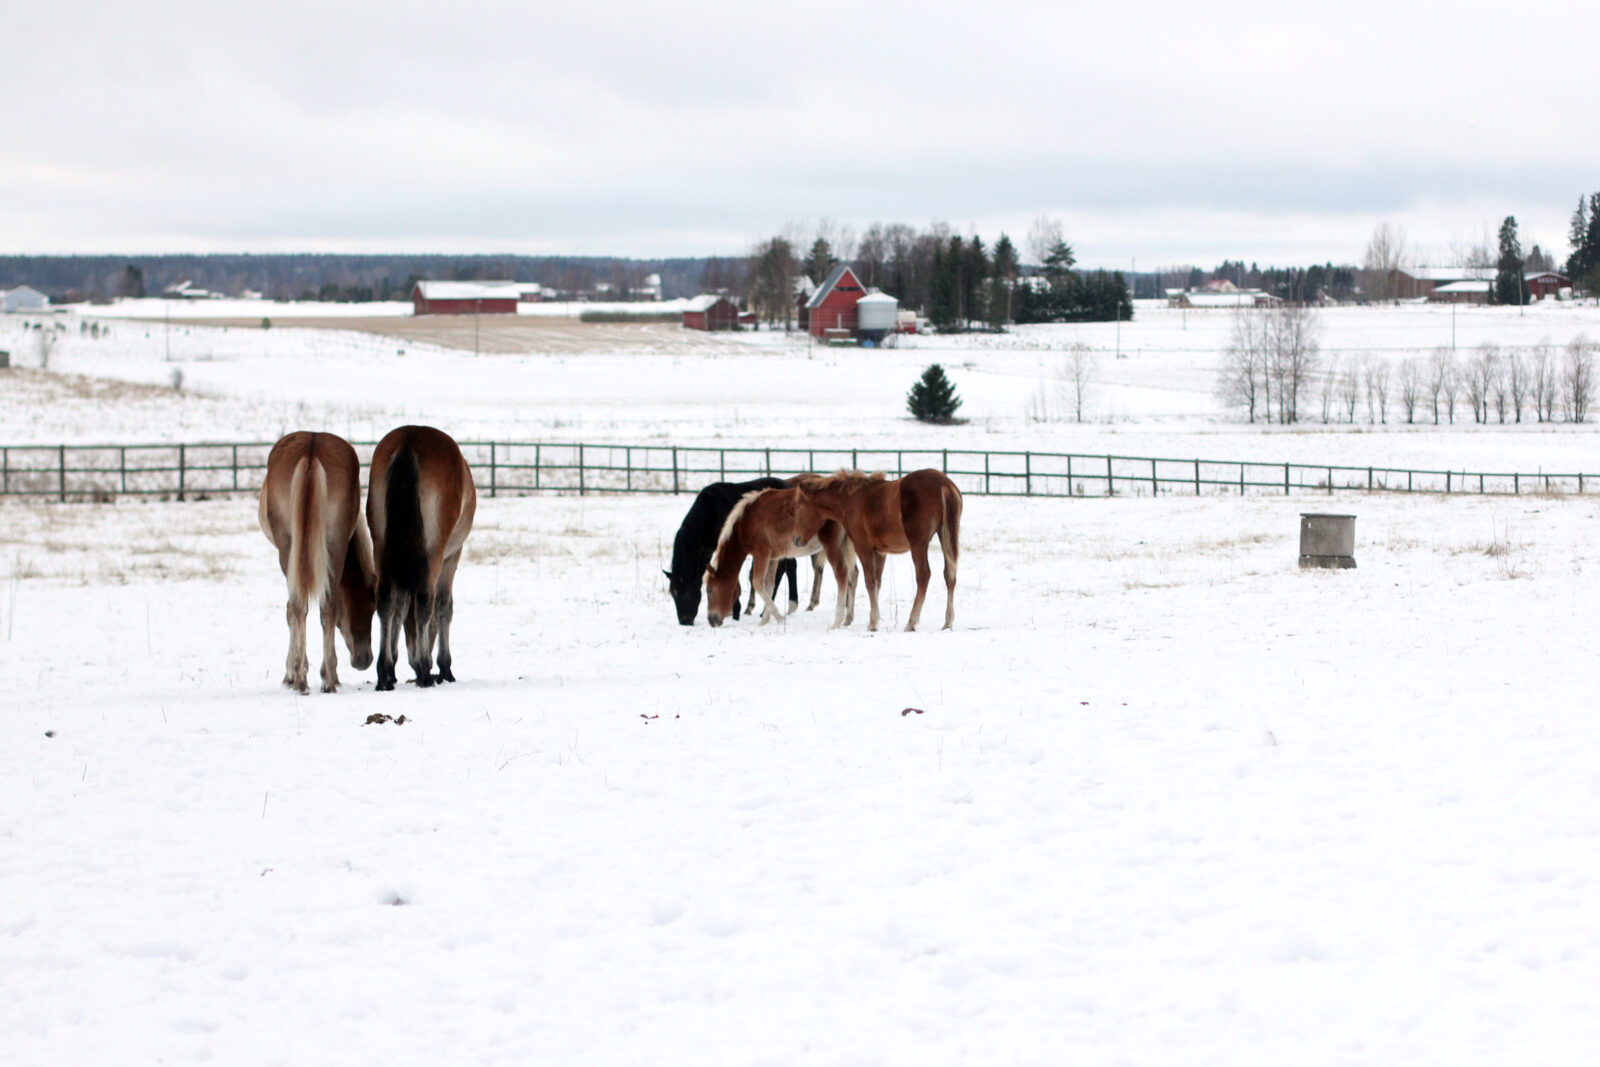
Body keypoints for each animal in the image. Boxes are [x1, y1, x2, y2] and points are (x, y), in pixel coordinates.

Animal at [259, 431, 377, 694]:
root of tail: (311, 453)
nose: (364, 660)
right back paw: (323, 680)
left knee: (299, 606)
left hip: (290, 551)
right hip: (332, 547)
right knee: (324, 607)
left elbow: (289, 613)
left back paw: (305, 679)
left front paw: (290, 674)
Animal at [366, 425, 473, 694]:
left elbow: (400, 606)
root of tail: (409, 441)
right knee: (425, 602)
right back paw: (425, 672)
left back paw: (384, 674)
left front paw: (391, 666)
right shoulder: (452, 556)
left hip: (381, 548)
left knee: (385, 602)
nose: (413, 661)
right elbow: (443, 606)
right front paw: (444, 668)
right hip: (434, 552)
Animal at [662, 476, 800, 627]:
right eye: (672, 593)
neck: (708, 515)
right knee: (788, 567)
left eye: (684, 592)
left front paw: (735, 612)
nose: (684, 621)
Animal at [707, 489, 857, 630]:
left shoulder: (761, 553)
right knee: (853, 574)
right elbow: (769, 586)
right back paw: (848, 619)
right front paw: (765, 621)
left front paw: (779, 618)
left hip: (832, 545)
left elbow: (758, 584)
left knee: (842, 574)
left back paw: (836, 622)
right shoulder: (773, 558)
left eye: (709, 590)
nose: (711, 621)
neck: (745, 522)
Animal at [796, 470, 960, 633]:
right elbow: (877, 582)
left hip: (918, 544)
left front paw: (873, 623)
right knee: (949, 575)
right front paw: (873, 618)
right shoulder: (880, 552)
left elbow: (870, 582)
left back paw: (911, 622)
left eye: (798, 507)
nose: (797, 540)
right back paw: (948, 622)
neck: (851, 499)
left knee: (923, 575)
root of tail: (944, 483)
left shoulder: (863, 547)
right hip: (944, 536)